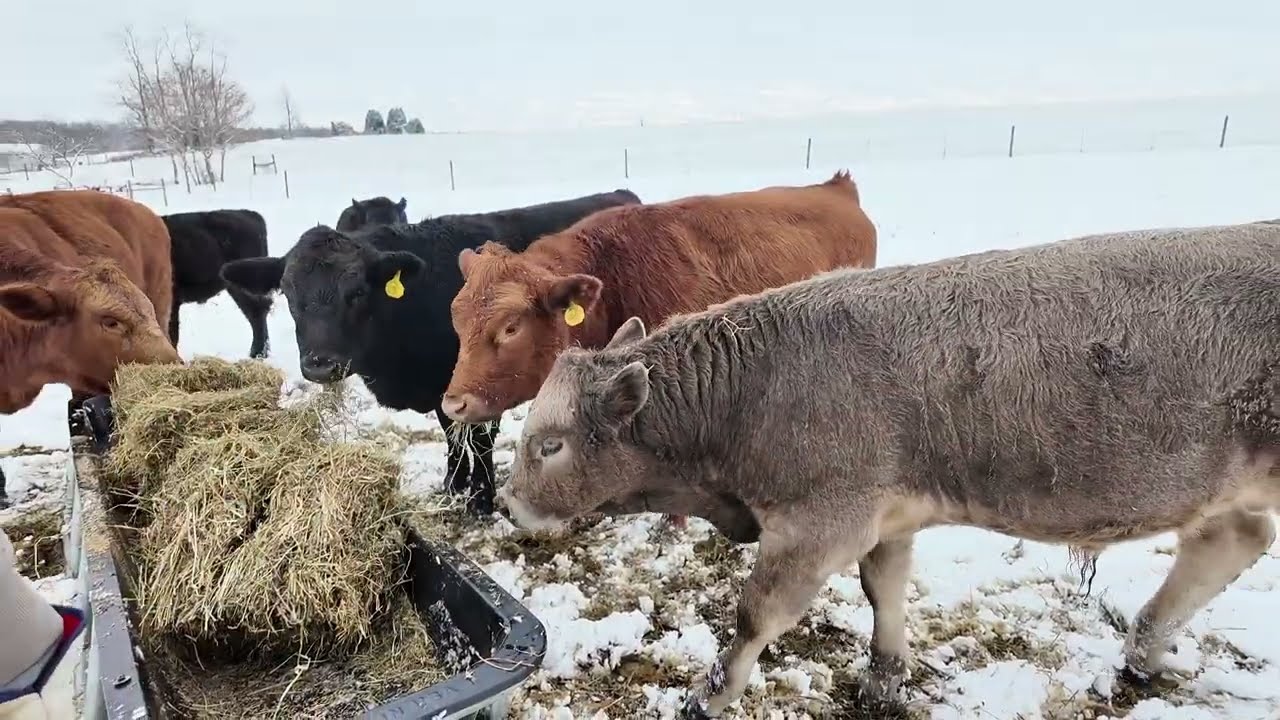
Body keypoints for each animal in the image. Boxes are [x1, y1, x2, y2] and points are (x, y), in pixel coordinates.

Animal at [218, 188, 642, 516]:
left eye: (356, 292)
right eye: (290, 296)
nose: (321, 366)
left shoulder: (480, 384)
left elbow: (480, 439)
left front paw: (480, 497)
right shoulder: (446, 392)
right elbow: (451, 435)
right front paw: (454, 483)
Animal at [494, 220, 1280, 717]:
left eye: (550, 445)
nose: (508, 504)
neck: (756, 391)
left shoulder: (817, 524)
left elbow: (755, 617)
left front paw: (708, 695)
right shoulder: (887, 514)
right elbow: (886, 591)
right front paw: (884, 677)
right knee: (1230, 541)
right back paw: (1142, 651)